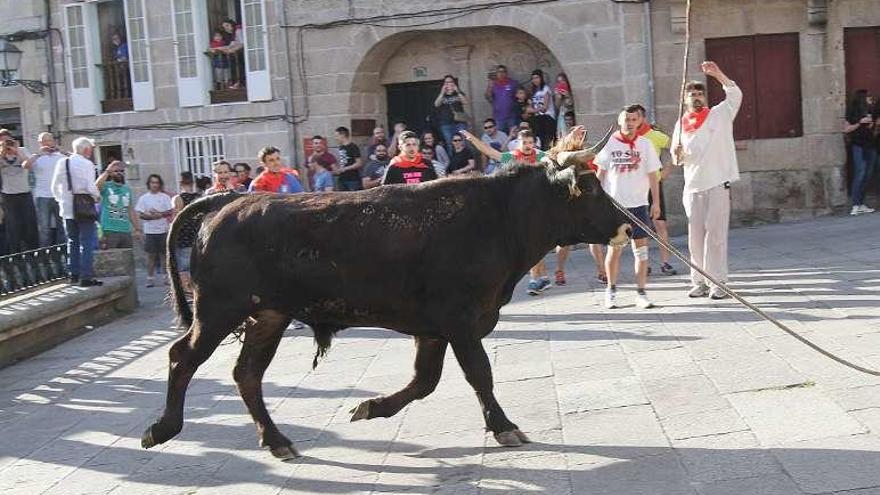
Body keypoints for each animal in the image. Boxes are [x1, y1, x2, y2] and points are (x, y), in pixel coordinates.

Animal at [141, 128, 628, 462]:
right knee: (183, 358)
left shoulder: (433, 329)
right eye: (589, 187)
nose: (626, 225)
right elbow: (479, 374)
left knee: (247, 374)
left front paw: (370, 407)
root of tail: (227, 202)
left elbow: (424, 381)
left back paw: (276, 440)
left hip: (269, 316)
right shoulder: (459, 321)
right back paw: (162, 428)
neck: (498, 216)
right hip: (219, 311)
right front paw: (505, 426)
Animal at [604, 0, 880, 376]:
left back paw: (717, 287)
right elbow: (678, 154)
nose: (696, 93)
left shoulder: (727, 112)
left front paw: (717, 72)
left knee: (714, 239)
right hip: (696, 206)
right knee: (697, 239)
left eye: (699, 91)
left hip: (714, 203)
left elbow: (735, 96)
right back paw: (700, 285)